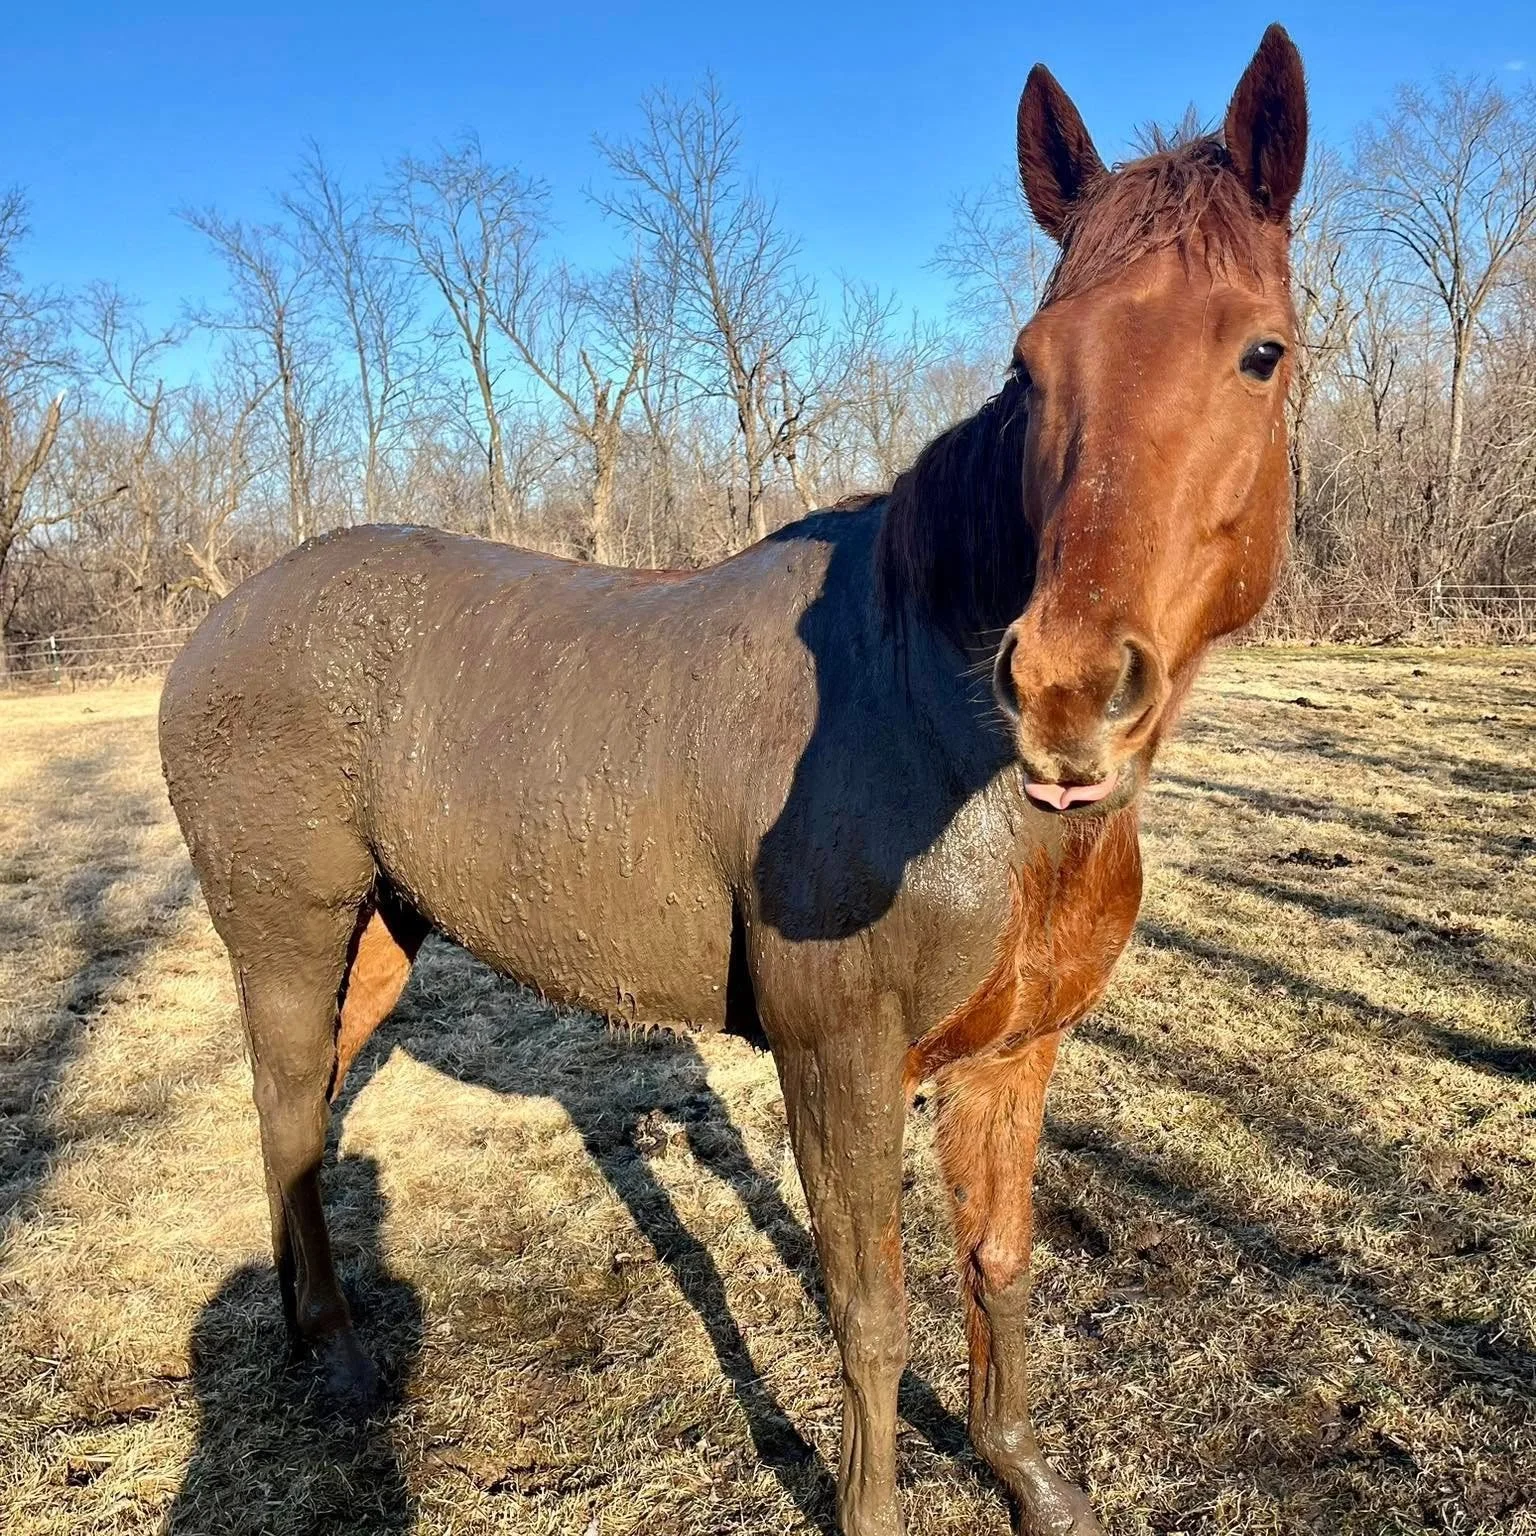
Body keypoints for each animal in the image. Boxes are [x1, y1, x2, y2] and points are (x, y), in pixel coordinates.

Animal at [158, 26, 1307, 1535]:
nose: (1066, 692)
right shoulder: (843, 1060)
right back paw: (344, 1358)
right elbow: (870, 1311)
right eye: (1034, 363)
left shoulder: (1015, 1055)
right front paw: (875, 1509)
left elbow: (999, 1262)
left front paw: (1025, 1475)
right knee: (293, 1110)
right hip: (287, 930)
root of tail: (221, 622)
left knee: (288, 1119)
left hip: (379, 935)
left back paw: (306, 1333)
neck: (935, 726)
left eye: (1261, 351)